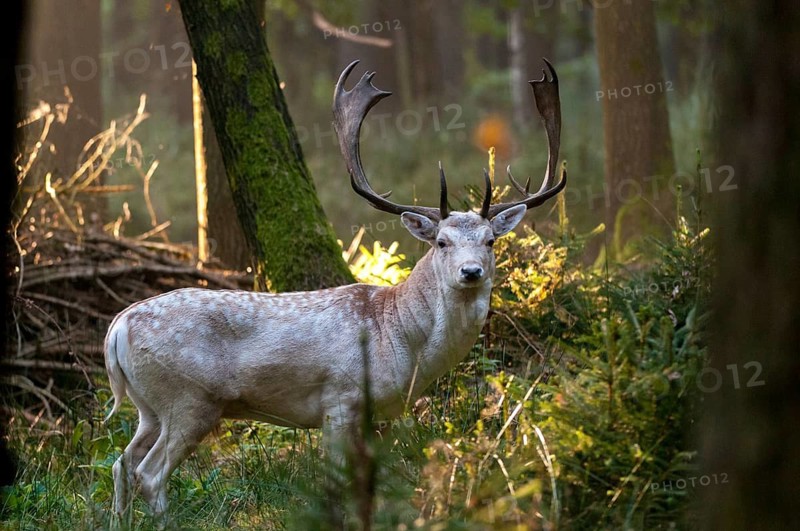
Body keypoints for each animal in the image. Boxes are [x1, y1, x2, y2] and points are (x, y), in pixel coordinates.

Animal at [104, 59, 565, 519]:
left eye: (490, 241)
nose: (471, 272)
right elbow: (337, 481)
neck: (401, 341)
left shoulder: (379, 415)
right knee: (149, 473)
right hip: (188, 398)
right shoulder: (339, 399)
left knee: (120, 462)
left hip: (149, 406)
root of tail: (116, 328)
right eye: (441, 242)